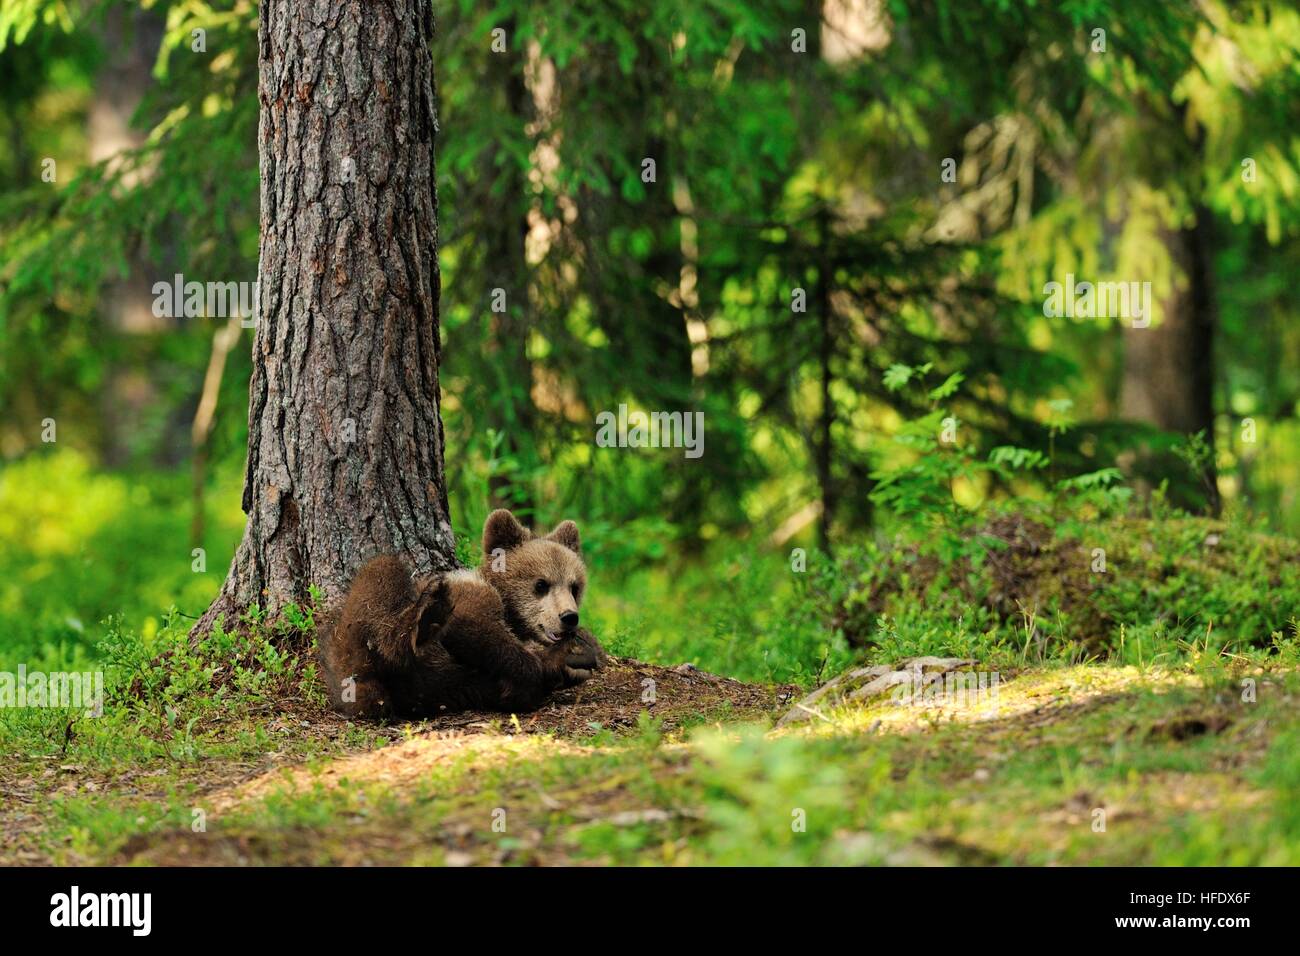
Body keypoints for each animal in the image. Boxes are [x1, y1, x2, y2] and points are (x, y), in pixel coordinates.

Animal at [316, 509, 606, 719]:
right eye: (541, 584)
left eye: (574, 586)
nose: (569, 617)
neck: (512, 614)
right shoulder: (469, 595)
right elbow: (476, 629)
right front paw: (540, 666)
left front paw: (574, 659)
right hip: (354, 630)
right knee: (383, 572)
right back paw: (428, 613)